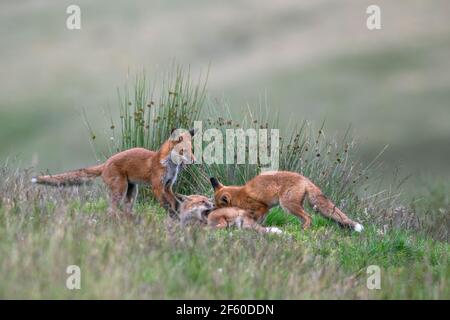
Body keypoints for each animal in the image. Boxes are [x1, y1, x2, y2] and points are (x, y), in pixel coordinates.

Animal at [29, 129, 195, 219]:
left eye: (192, 149)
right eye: (183, 150)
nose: (194, 160)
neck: (169, 164)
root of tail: (105, 163)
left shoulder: (168, 186)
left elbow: (174, 202)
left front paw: (178, 213)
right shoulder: (157, 187)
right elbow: (166, 204)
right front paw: (173, 216)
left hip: (132, 191)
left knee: (125, 208)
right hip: (120, 190)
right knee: (111, 210)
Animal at [209, 171, 364, 231]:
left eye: (217, 206)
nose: (211, 213)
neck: (239, 194)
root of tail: (305, 179)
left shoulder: (262, 207)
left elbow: (256, 219)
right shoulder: (265, 210)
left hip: (288, 205)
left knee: (309, 217)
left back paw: (304, 230)